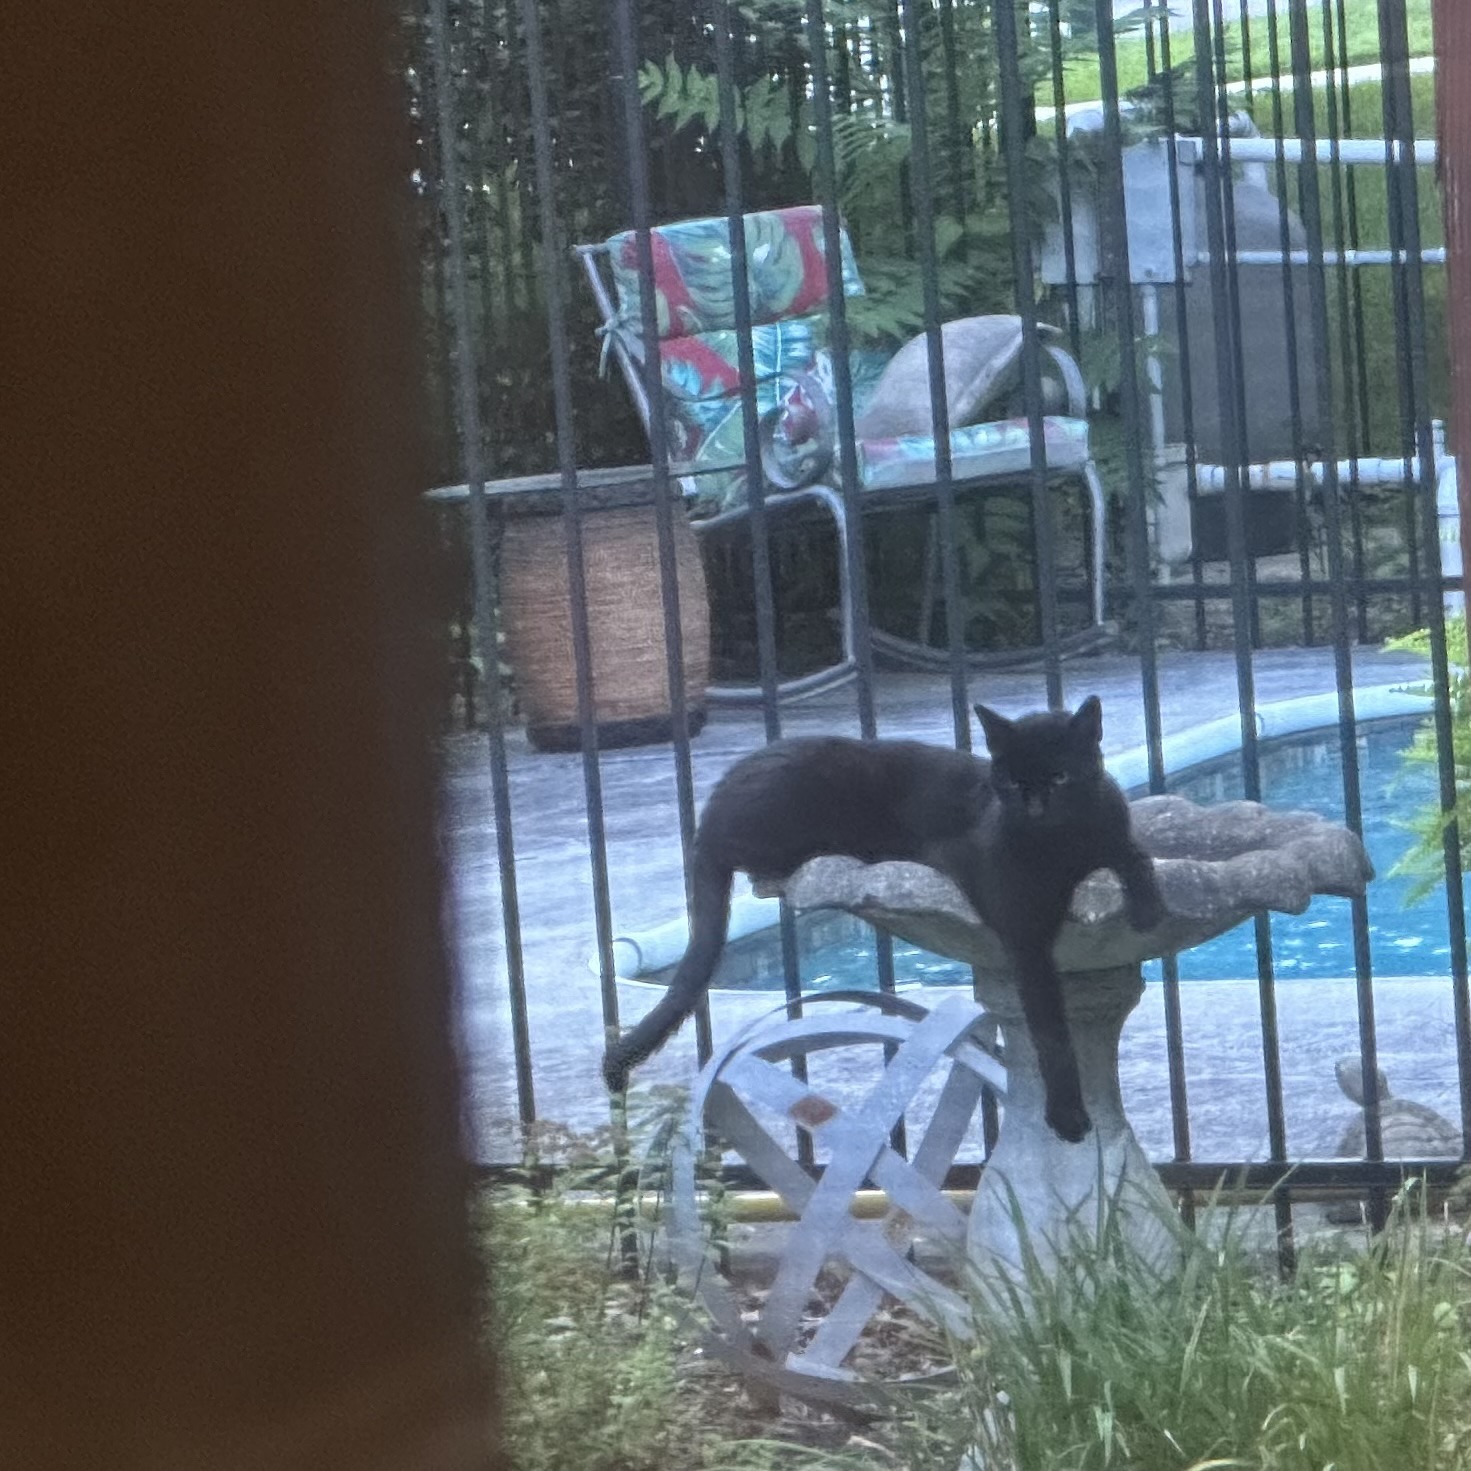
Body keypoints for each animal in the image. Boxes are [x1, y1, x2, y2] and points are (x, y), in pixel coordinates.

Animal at [602, 696, 1164, 1143]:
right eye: (1009, 779)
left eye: (1059, 777)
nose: (1033, 807)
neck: (1062, 848)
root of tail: (712, 808)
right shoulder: (1022, 933)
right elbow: (1050, 1030)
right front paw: (1068, 1117)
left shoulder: (1111, 829)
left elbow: (1135, 855)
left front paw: (1149, 909)